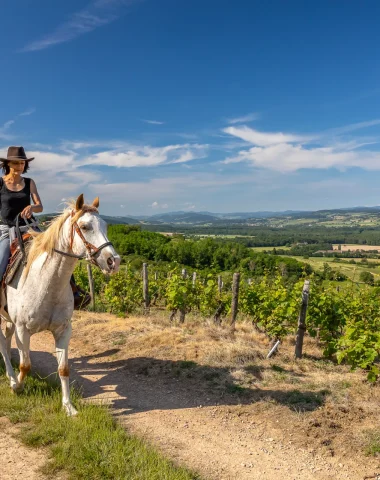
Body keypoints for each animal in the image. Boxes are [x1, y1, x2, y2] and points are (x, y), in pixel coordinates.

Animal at [0, 193, 120, 414]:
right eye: (84, 227)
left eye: (105, 226)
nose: (114, 261)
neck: (46, 282)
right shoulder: (23, 329)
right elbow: (25, 365)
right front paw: (17, 387)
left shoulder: (63, 330)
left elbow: (63, 368)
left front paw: (68, 407)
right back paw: (11, 379)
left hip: (9, 320)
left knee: (4, 343)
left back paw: (9, 376)